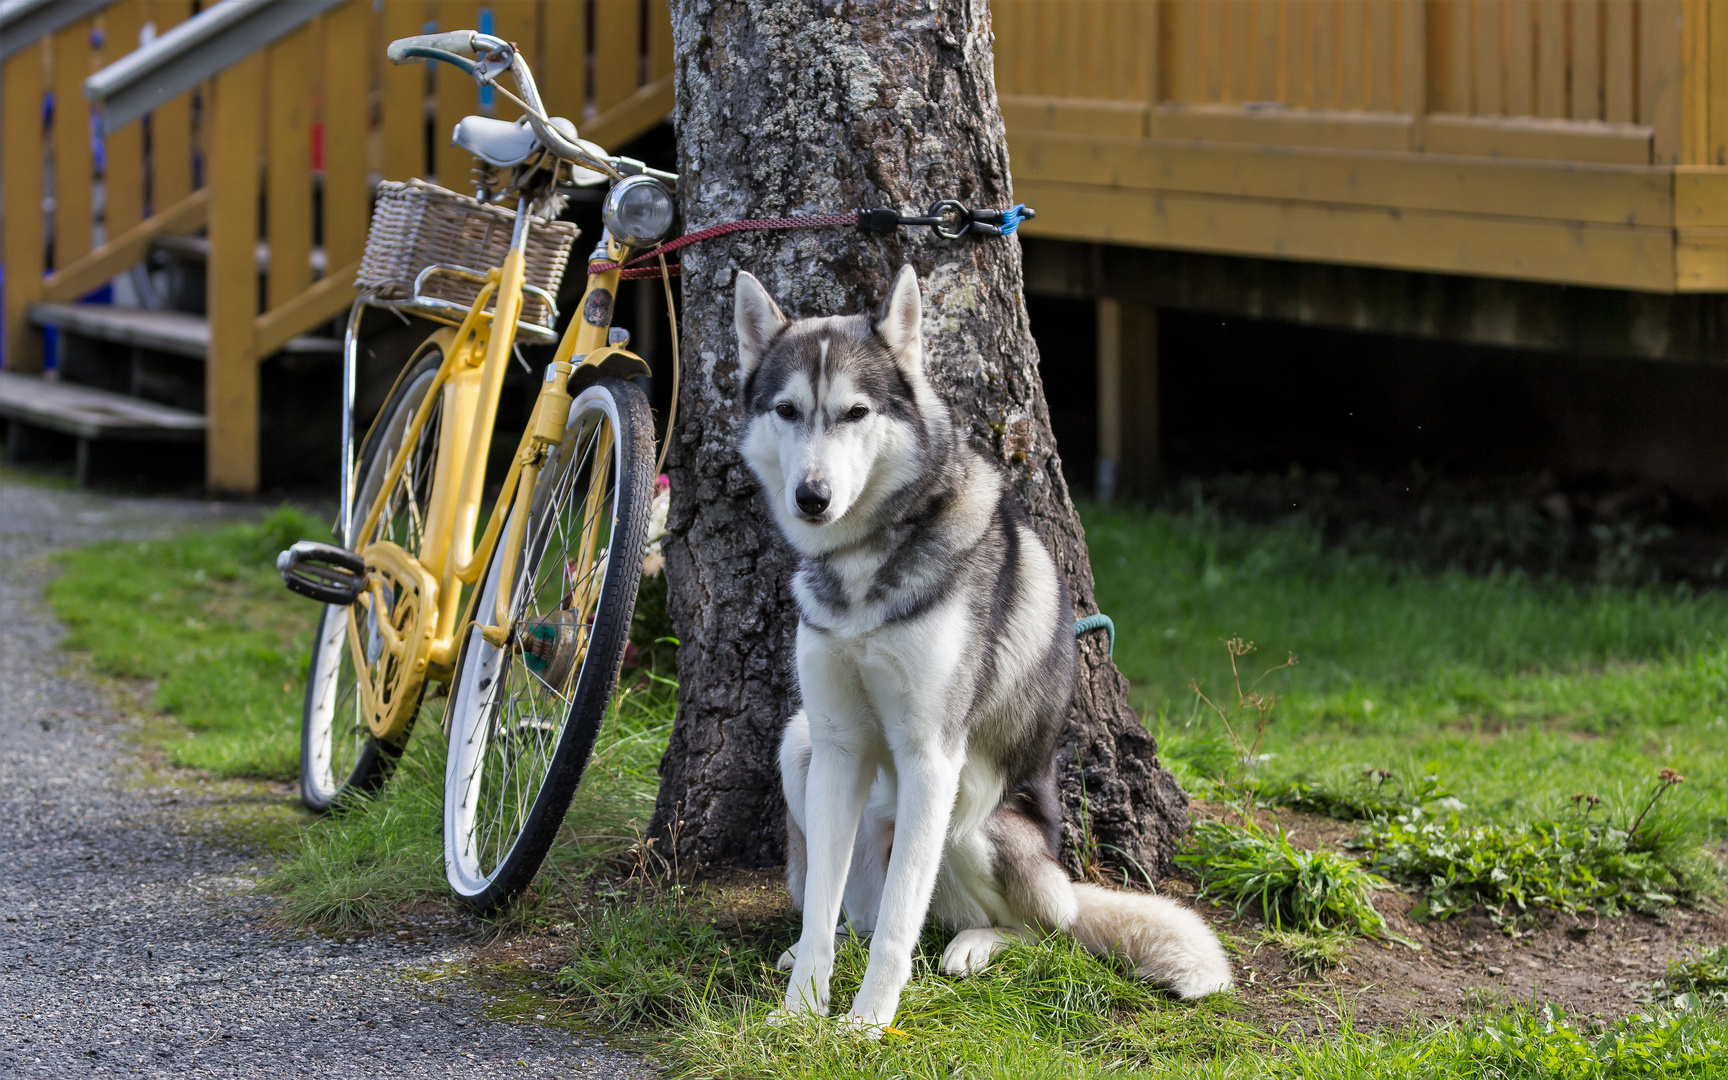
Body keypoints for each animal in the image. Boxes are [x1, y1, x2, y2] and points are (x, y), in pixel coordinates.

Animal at [736, 262, 1237, 1029]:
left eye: (856, 413)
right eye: (787, 411)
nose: (811, 496)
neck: (863, 566)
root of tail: (1064, 874)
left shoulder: (932, 757)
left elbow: (898, 928)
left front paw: (866, 1025)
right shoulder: (838, 746)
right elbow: (824, 911)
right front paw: (799, 1014)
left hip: (977, 823)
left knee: (1033, 930)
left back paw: (976, 944)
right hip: (801, 748)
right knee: (855, 912)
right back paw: (814, 948)